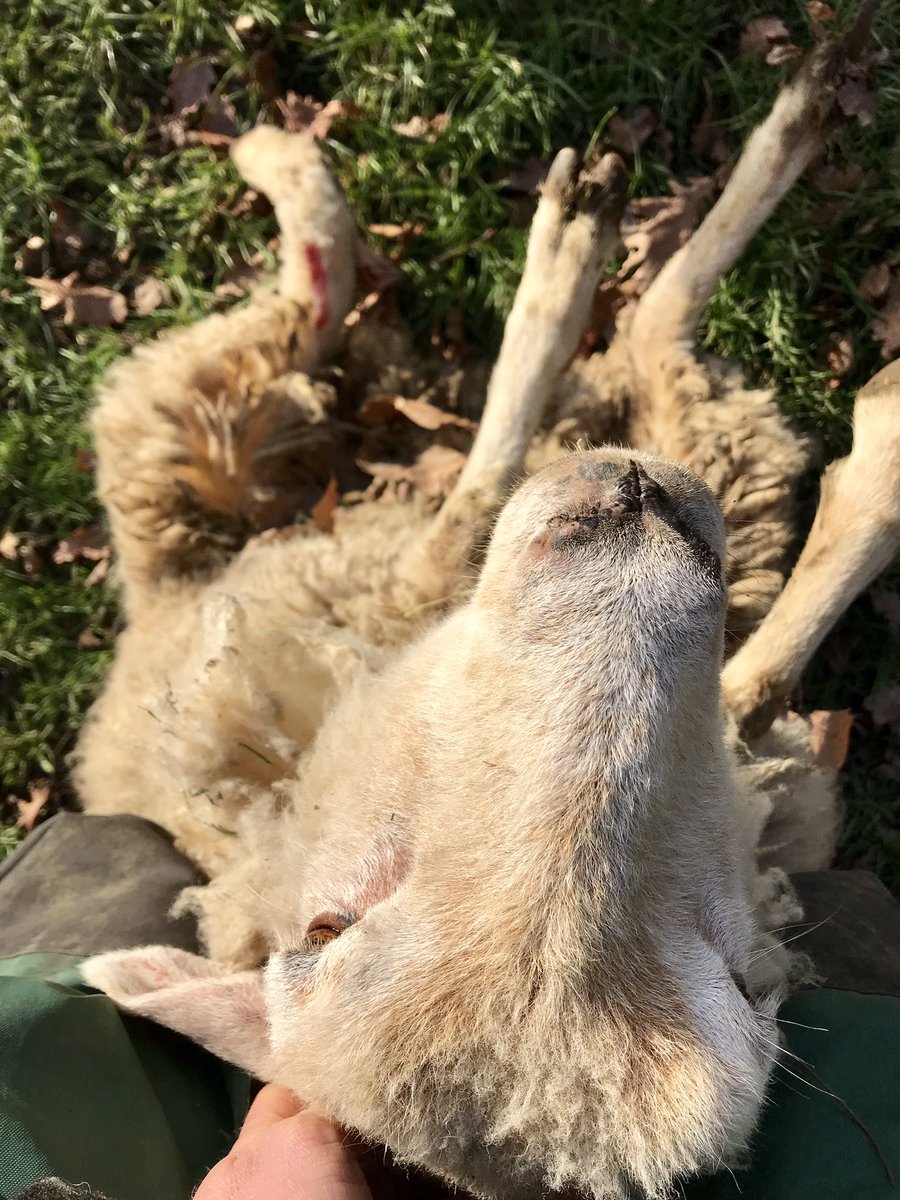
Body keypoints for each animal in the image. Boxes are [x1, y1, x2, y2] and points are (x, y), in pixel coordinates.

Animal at [79, 14, 899, 1199]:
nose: (631, 524)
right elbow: (765, 640)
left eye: (750, 988)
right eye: (320, 928)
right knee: (471, 408)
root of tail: (150, 602)